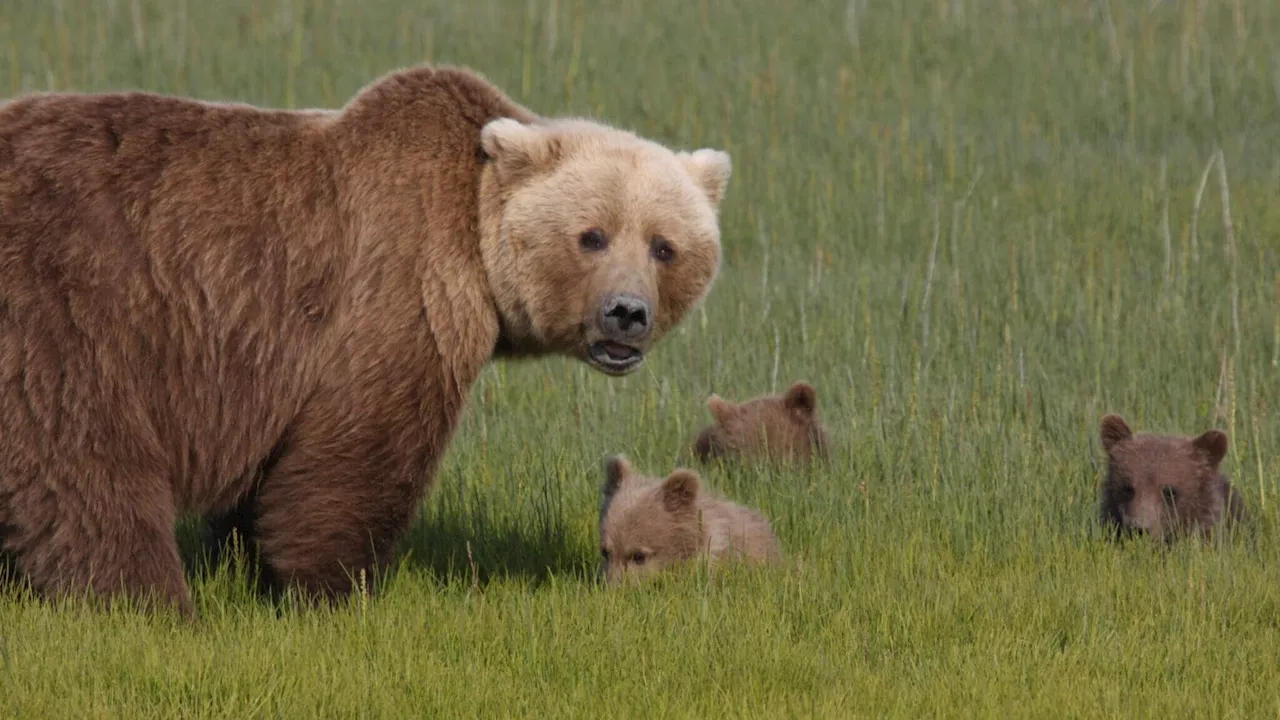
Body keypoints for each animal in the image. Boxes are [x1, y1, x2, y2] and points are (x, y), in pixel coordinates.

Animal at [0, 64, 732, 614]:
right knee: (83, 457)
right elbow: (356, 452)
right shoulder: (399, 294)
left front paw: (246, 561)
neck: (475, 242)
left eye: (664, 245)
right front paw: (330, 589)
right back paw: (148, 598)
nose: (626, 314)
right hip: (69, 304)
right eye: (592, 236)